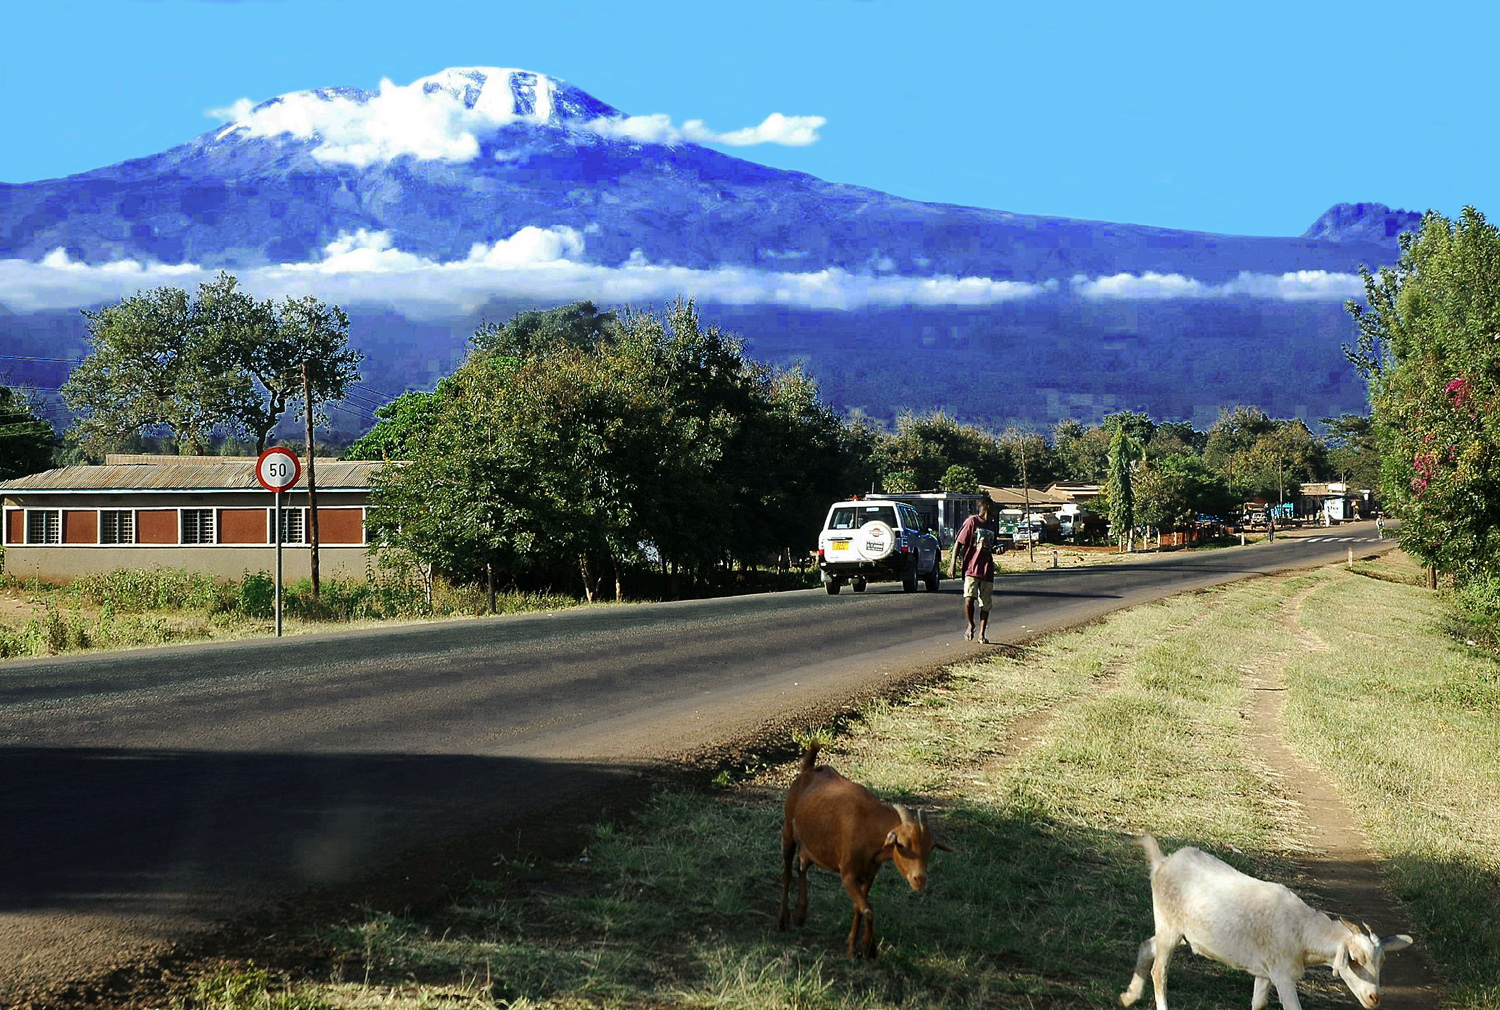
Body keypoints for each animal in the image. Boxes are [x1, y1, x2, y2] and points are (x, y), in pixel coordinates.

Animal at [780, 735, 954, 954]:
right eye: (901, 845)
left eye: (931, 847)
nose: (920, 880)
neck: (869, 826)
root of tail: (808, 770)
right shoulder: (848, 874)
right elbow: (868, 909)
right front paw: (868, 951)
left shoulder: (869, 873)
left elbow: (859, 907)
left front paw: (854, 945)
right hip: (788, 828)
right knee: (787, 871)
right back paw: (783, 920)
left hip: (814, 844)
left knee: (803, 863)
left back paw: (800, 915)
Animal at [1122, 834, 1410, 1008]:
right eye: (1353, 960)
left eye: (1382, 961)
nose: (1374, 997)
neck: (1302, 932)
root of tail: (1161, 863)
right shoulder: (1283, 975)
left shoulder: (1265, 972)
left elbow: (1258, 1004)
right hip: (1168, 924)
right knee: (1159, 972)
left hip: (1180, 931)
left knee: (1147, 946)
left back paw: (1128, 996)